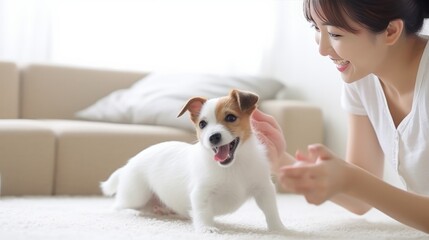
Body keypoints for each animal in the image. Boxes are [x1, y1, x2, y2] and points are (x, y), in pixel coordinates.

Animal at [100, 88, 284, 232]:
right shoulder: (201, 192)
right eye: (202, 124)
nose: (213, 137)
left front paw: (278, 229)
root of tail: (128, 165)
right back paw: (130, 213)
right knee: (117, 206)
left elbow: (271, 210)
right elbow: (203, 211)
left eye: (231, 118)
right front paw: (206, 228)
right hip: (136, 194)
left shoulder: (264, 189)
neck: (232, 166)